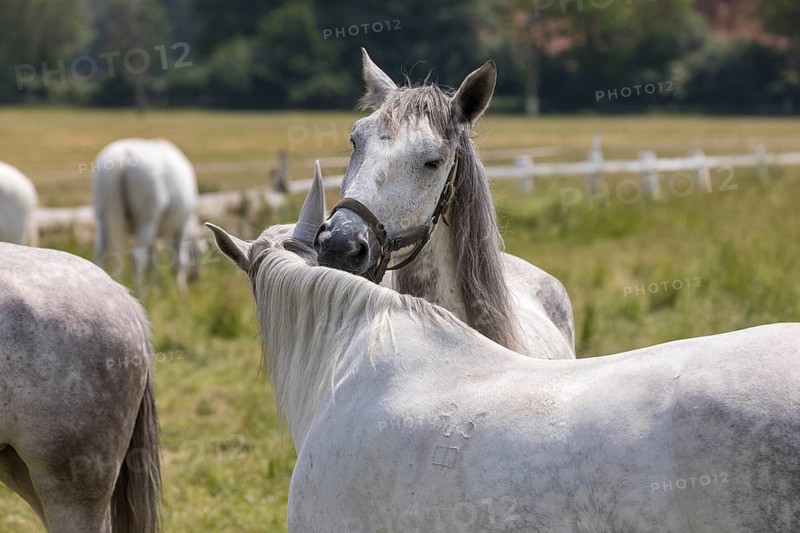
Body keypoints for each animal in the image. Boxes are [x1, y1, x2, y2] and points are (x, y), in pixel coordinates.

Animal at [92, 138, 202, 296]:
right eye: (200, 252)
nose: (197, 277)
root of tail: (121, 158)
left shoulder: (155, 236)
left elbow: (152, 261)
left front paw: (155, 289)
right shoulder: (182, 226)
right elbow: (180, 260)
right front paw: (180, 291)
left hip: (103, 216)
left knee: (100, 253)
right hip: (147, 221)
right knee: (137, 256)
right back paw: (141, 293)